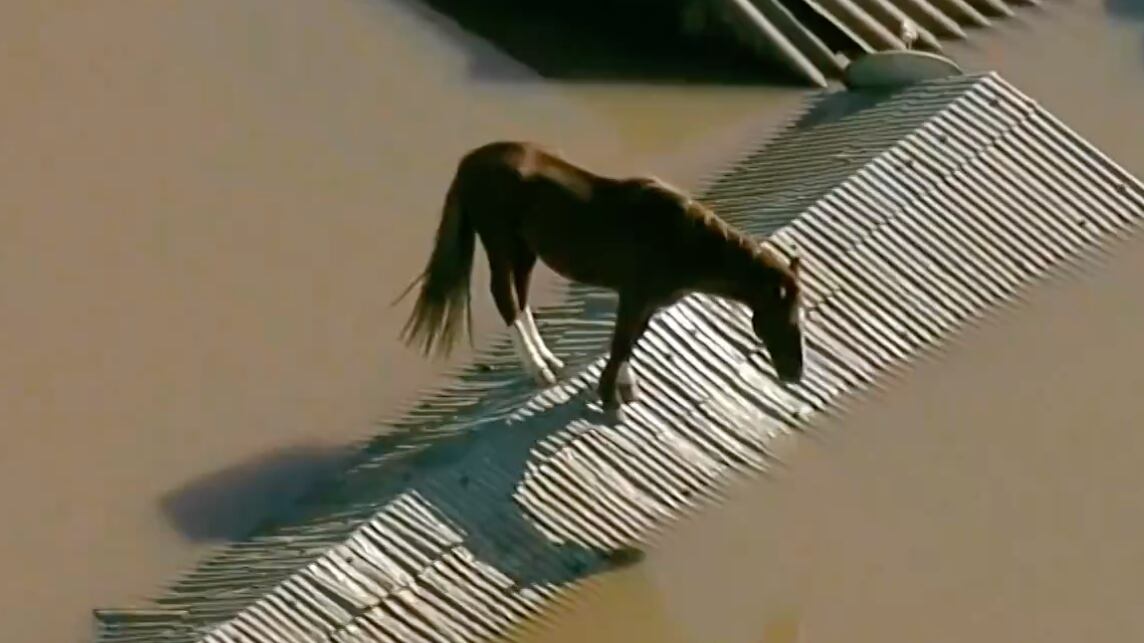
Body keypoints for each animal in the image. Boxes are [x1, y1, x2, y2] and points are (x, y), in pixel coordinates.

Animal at [396, 141, 805, 410]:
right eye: (786, 319)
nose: (795, 374)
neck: (684, 241)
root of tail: (472, 160)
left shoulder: (646, 302)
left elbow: (632, 340)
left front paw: (623, 386)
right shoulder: (635, 296)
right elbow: (622, 342)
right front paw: (610, 398)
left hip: (525, 251)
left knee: (520, 299)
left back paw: (549, 362)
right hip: (500, 243)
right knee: (505, 297)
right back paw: (539, 370)